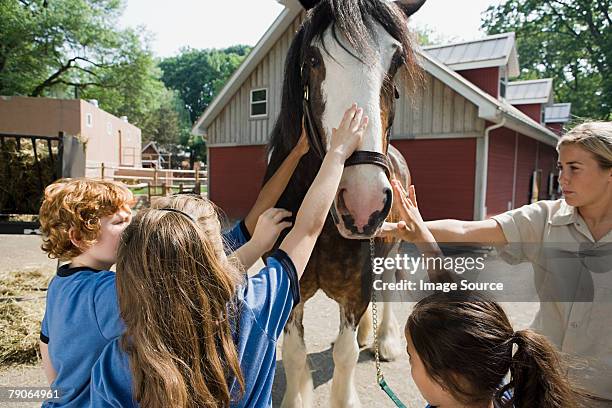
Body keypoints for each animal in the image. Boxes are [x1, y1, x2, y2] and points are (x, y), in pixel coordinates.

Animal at [262, 1, 426, 406]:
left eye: (396, 60)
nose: (363, 203)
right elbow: (294, 352)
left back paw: (384, 340)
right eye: (313, 58)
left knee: (388, 289)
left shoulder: (357, 288)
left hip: (390, 251)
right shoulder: (292, 286)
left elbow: (346, 355)